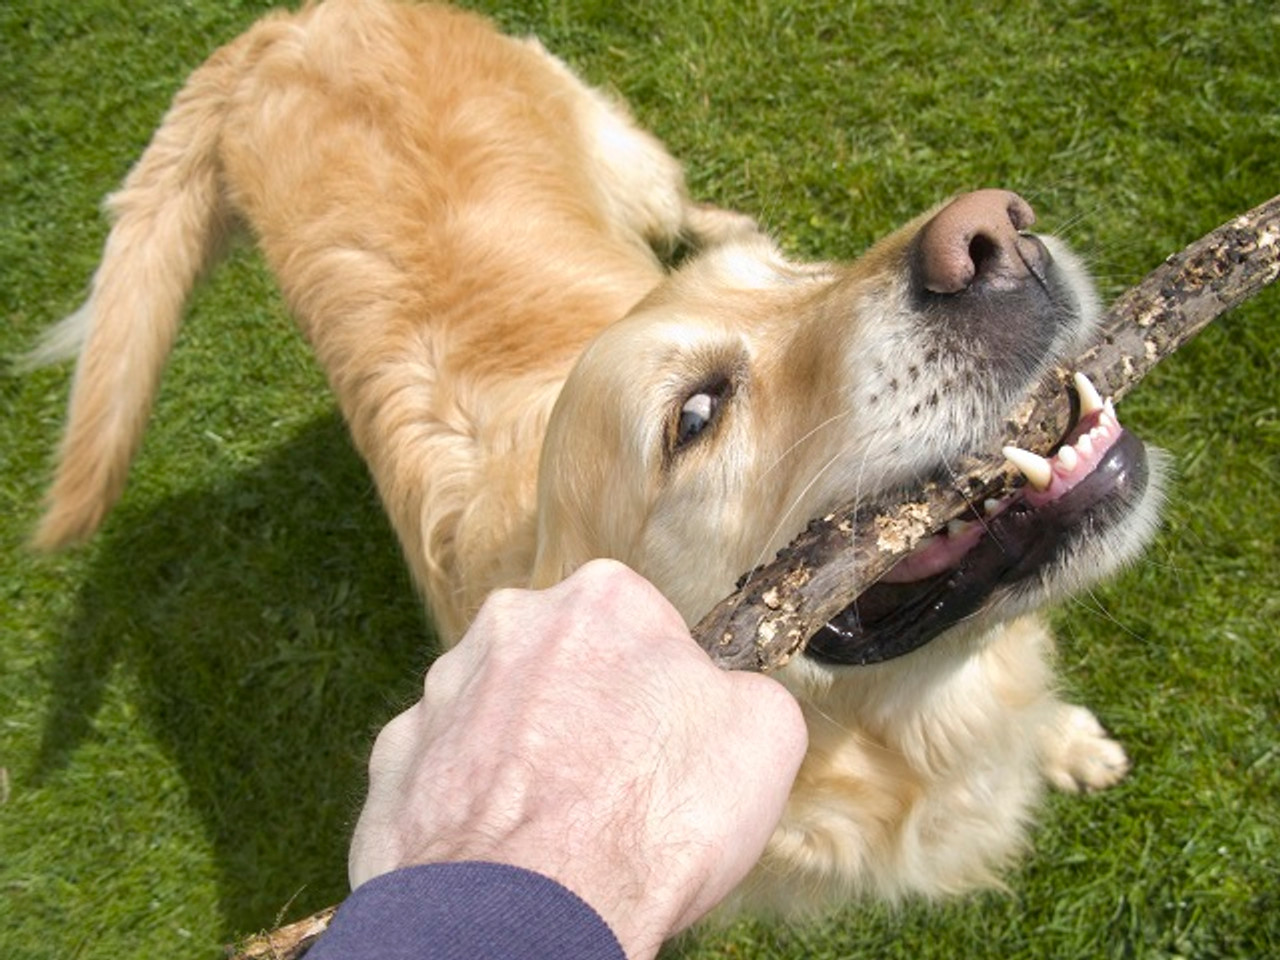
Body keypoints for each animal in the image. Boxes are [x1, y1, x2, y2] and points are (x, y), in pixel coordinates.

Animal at [35, 0, 1167, 916]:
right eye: (696, 412)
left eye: (806, 277)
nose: (992, 236)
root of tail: (274, 29)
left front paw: (1068, 743)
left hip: (623, 155)